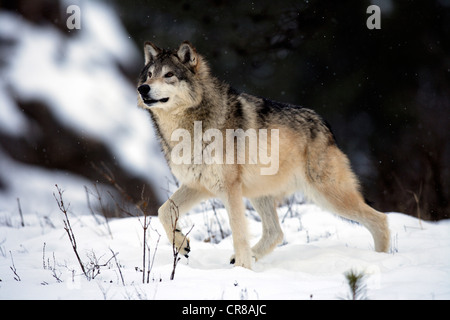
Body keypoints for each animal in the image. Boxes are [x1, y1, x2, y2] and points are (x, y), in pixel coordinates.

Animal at [136, 40, 390, 270]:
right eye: (149, 75)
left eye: (169, 75)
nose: (142, 88)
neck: (187, 127)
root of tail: (325, 125)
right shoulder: (198, 184)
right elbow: (163, 211)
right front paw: (182, 244)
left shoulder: (228, 188)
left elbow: (238, 232)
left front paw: (243, 271)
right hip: (262, 193)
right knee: (276, 232)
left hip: (327, 196)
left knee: (381, 219)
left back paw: (382, 260)